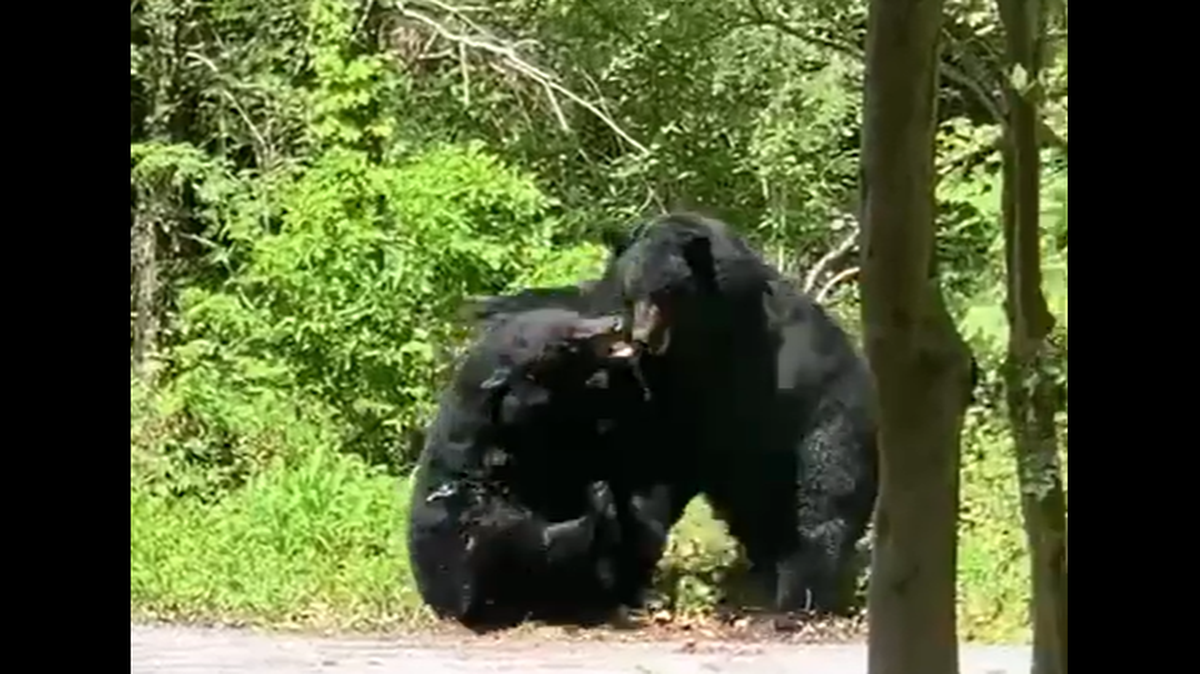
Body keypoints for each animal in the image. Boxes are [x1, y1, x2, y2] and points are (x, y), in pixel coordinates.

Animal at [589, 212, 880, 617]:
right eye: (632, 293)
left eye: (666, 293)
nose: (642, 339)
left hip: (830, 425)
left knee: (824, 499)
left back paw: (801, 593)